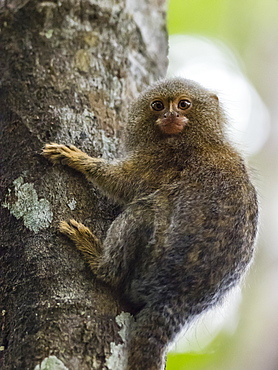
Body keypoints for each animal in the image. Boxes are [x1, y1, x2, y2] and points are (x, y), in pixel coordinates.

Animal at [43, 78, 258, 370]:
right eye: (158, 106)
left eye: (183, 104)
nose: (170, 115)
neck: (195, 137)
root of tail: (178, 300)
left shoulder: (161, 159)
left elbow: (124, 183)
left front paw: (78, 160)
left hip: (151, 263)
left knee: (141, 213)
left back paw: (99, 261)